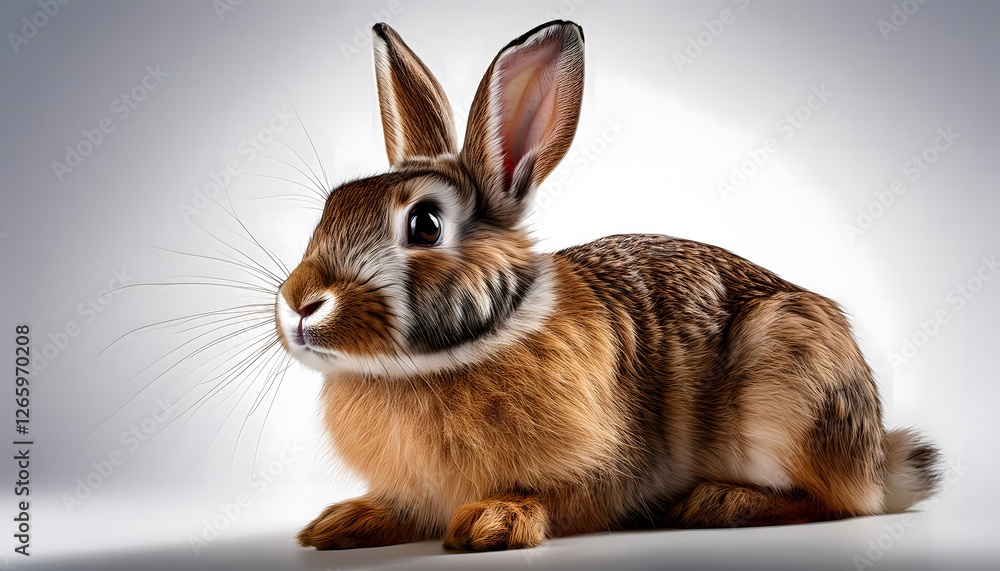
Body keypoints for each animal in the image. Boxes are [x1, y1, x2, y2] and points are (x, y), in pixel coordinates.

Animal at [276, 20, 941, 551]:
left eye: (424, 224)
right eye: (331, 206)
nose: (300, 304)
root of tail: (879, 460)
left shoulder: (600, 473)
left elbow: (557, 497)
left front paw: (493, 521)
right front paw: (342, 523)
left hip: (788, 391)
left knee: (834, 500)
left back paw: (719, 502)